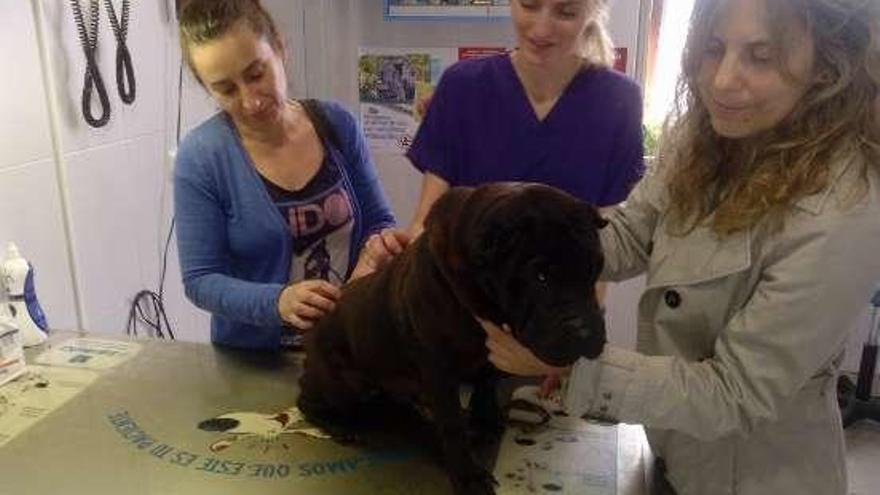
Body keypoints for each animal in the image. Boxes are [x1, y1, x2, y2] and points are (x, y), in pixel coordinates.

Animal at [296, 183, 604, 495]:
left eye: (595, 269)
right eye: (540, 276)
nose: (586, 333)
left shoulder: (488, 358)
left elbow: (486, 389)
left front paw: (486, 422)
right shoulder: (439, 371)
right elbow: (452, 424)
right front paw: (469, 475)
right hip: (342, 384)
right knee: (307, 401)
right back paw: (340, 425)